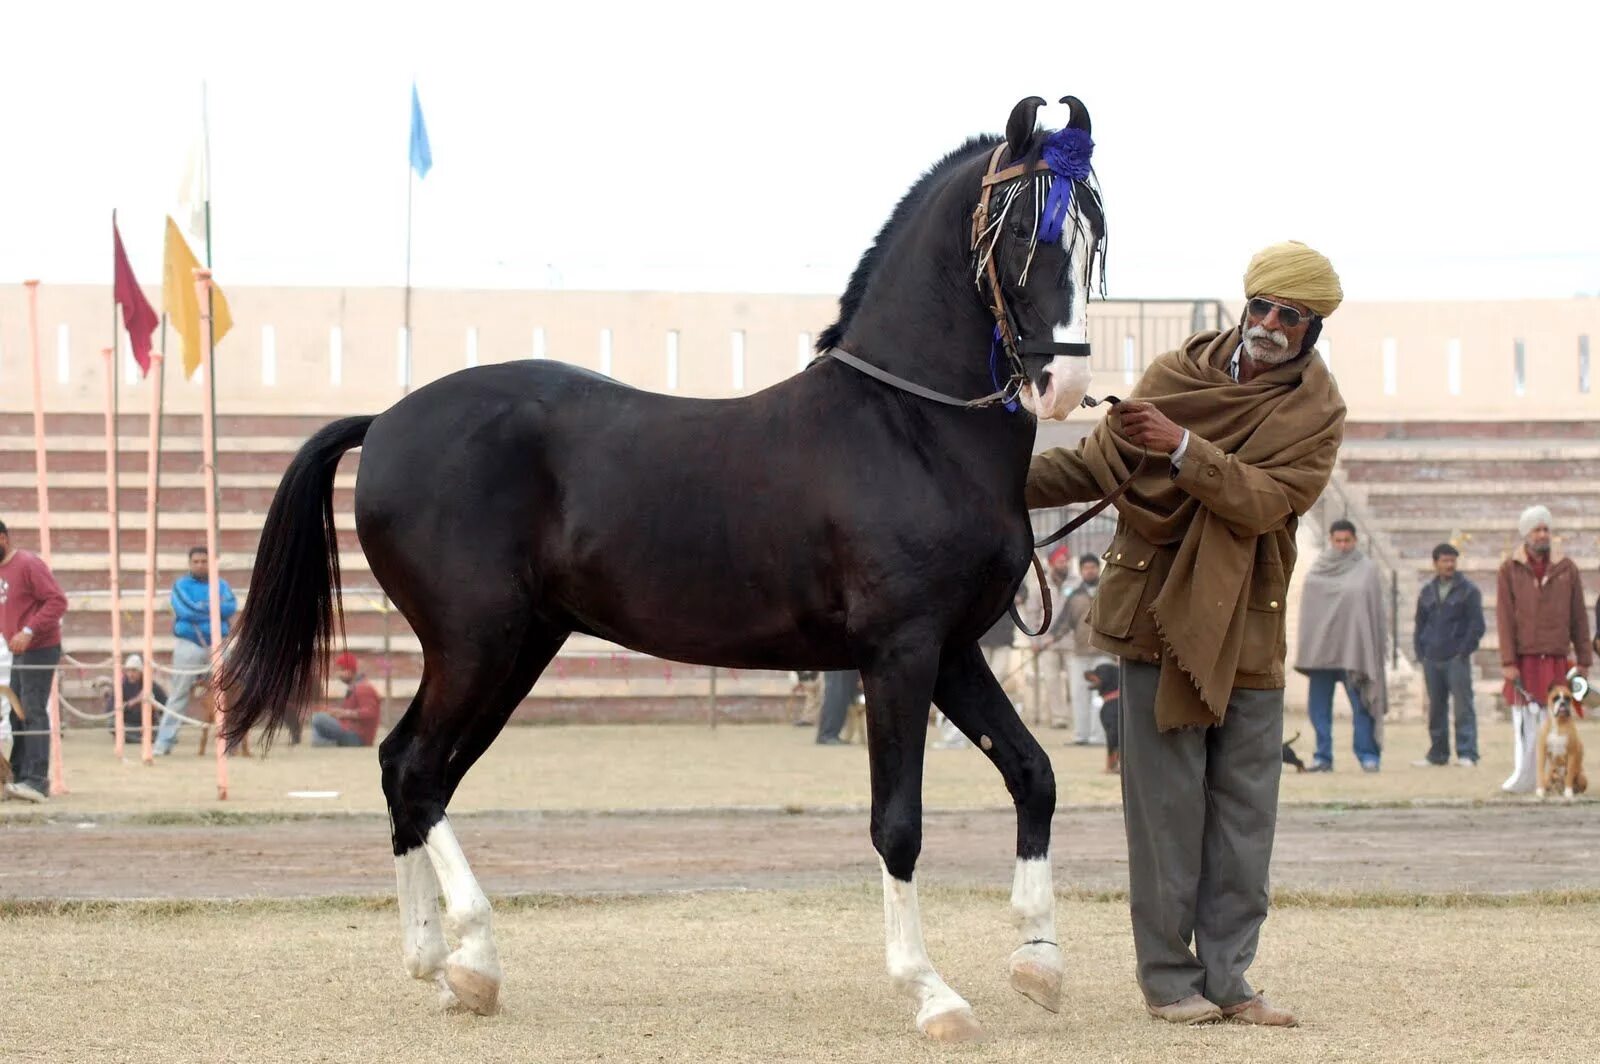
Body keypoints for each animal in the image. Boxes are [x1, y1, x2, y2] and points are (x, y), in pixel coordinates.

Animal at [222, 95, 1100, 1043]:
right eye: (1022, 231)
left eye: (1092, 233)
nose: (1060, 382)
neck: (910, 426)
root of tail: (384, 420)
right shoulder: (899, 654)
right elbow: (897, 824)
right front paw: (932, 992)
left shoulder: (955, 651)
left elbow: (1033, 775)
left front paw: (1040, 963)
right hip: (476, 646)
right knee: (418, 771)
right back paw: (475, 958)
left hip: (511, 652)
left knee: (406, 768)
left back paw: (437, 961)